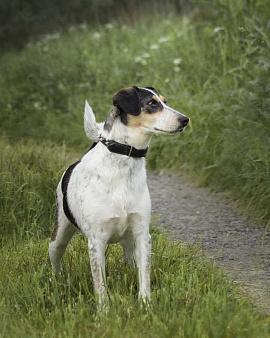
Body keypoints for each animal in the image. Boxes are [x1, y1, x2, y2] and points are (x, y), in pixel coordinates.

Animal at [49, 86, 188, 304]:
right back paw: (58, 283)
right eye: (152, 103)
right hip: (60, 235)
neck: (124, 160)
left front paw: (145, 305)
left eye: (165, 102)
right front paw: (104, 310)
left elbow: (144, 276)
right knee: (56, 257)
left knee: (129, 261)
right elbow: (100, 285)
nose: (185, 120)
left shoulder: (142, 235)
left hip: (129, 241)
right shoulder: (96, 242)